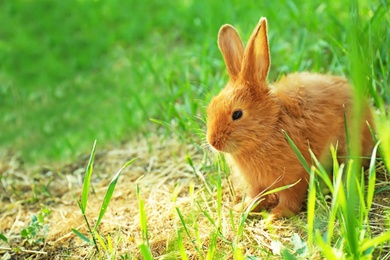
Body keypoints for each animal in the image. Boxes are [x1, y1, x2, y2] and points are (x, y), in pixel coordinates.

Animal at [206, 17, 374, 218]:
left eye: (237, 114)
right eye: (211, 107)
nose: (214, 142)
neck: (270, 126)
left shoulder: (294, 176)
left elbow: (290, 197)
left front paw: (274, 216)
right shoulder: (257, 184)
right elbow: (257, 196)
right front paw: (244, 208)